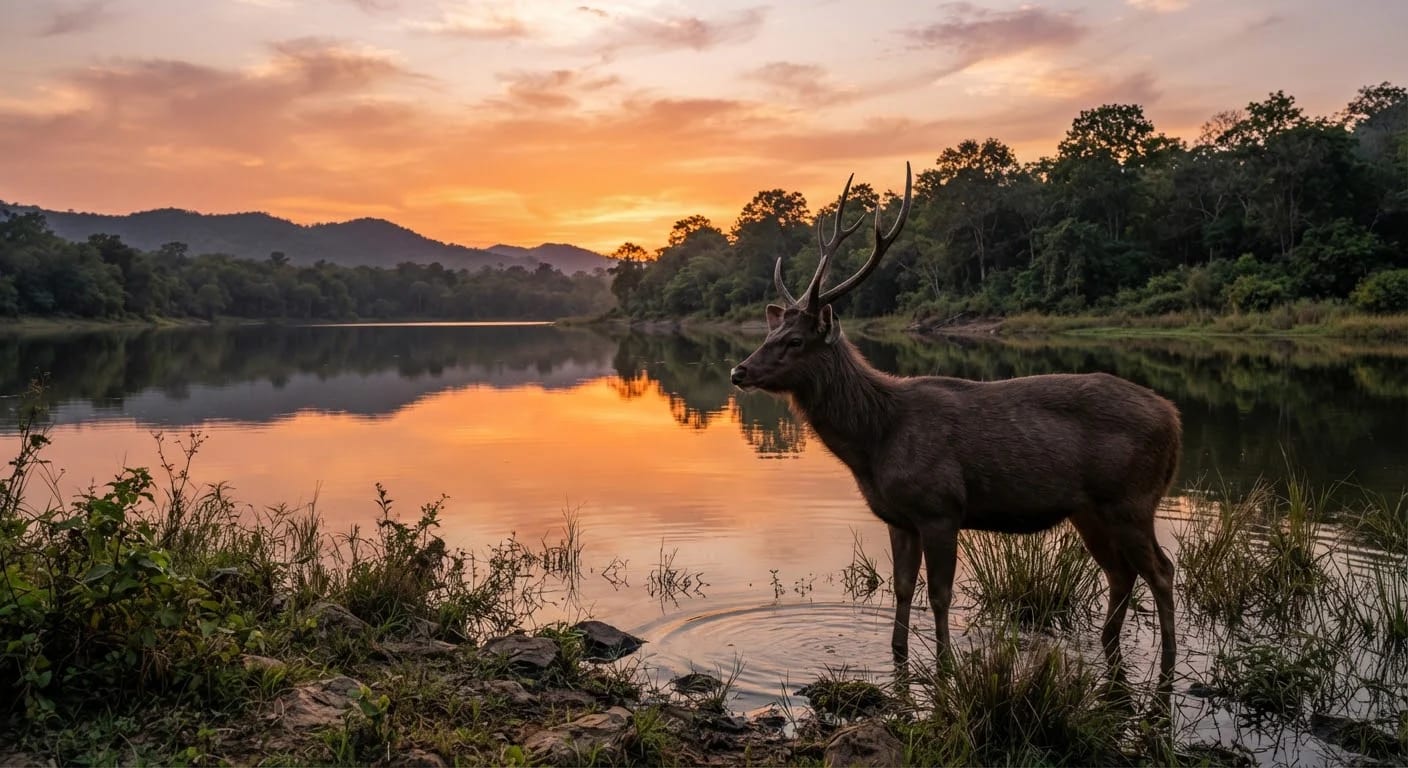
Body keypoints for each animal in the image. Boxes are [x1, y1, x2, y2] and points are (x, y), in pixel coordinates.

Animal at [729, 163, 1182, 684]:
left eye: (796, 340)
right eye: (769, 333)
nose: (738, 371)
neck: (877, 439)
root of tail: (1175, 419)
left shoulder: (940, 506)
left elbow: (939, 594)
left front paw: (945, 664)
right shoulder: (898, 517)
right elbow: (902, 588)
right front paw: (897, 656)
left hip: (1132, 498)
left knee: (1161, 570)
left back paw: (1168, 661)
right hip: (1089, 508)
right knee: (1121, 573)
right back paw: (1111, 646)